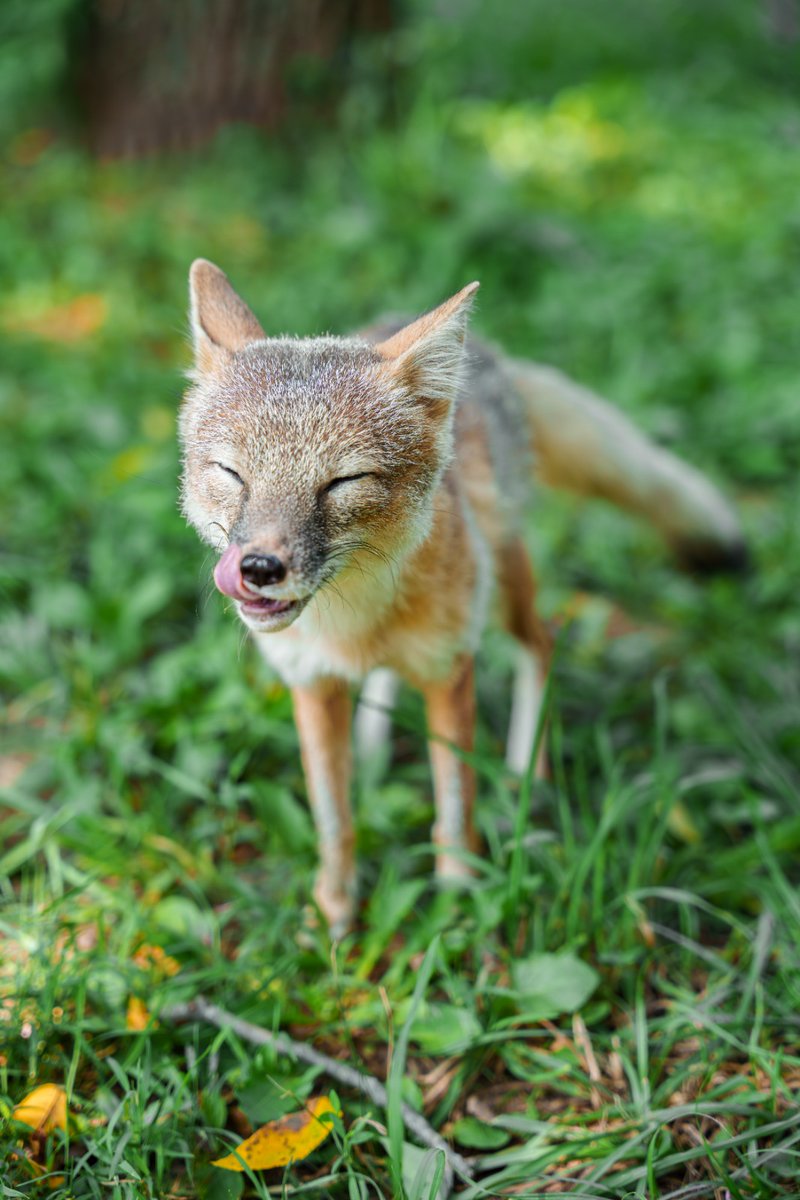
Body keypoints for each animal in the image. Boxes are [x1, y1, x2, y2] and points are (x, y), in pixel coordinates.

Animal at [180, 259, 746, 935]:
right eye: (232, 473)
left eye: (343, 481)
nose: (260, 568)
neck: (354, 622)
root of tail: (494, 360)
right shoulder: (313, 685)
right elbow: (334, 819)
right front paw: (334, 914)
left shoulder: (451, 670)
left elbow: (454, 805)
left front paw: (455, 906)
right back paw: (374, 750)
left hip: (503, 585)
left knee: (542, 644)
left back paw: (523, 781)